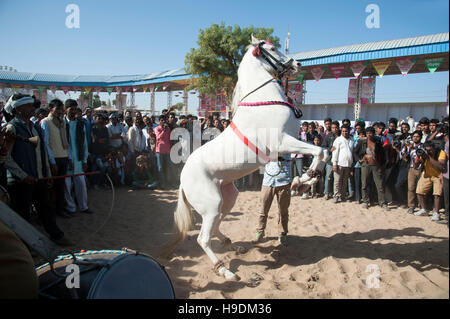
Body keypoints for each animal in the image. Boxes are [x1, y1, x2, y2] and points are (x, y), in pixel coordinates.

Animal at [167, 34, 328, 280]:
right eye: (273, 48)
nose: (298, 65)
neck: (265, 100)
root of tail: (183, 181)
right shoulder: (282, 142)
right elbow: (319, 151)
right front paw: (306, 178)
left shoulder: (286, 146)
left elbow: (323, 153)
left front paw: (303, 181)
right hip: (212, 203)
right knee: (203, 238)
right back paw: (225, 271)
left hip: (227, 197)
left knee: (215, 227)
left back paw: (233, 245)